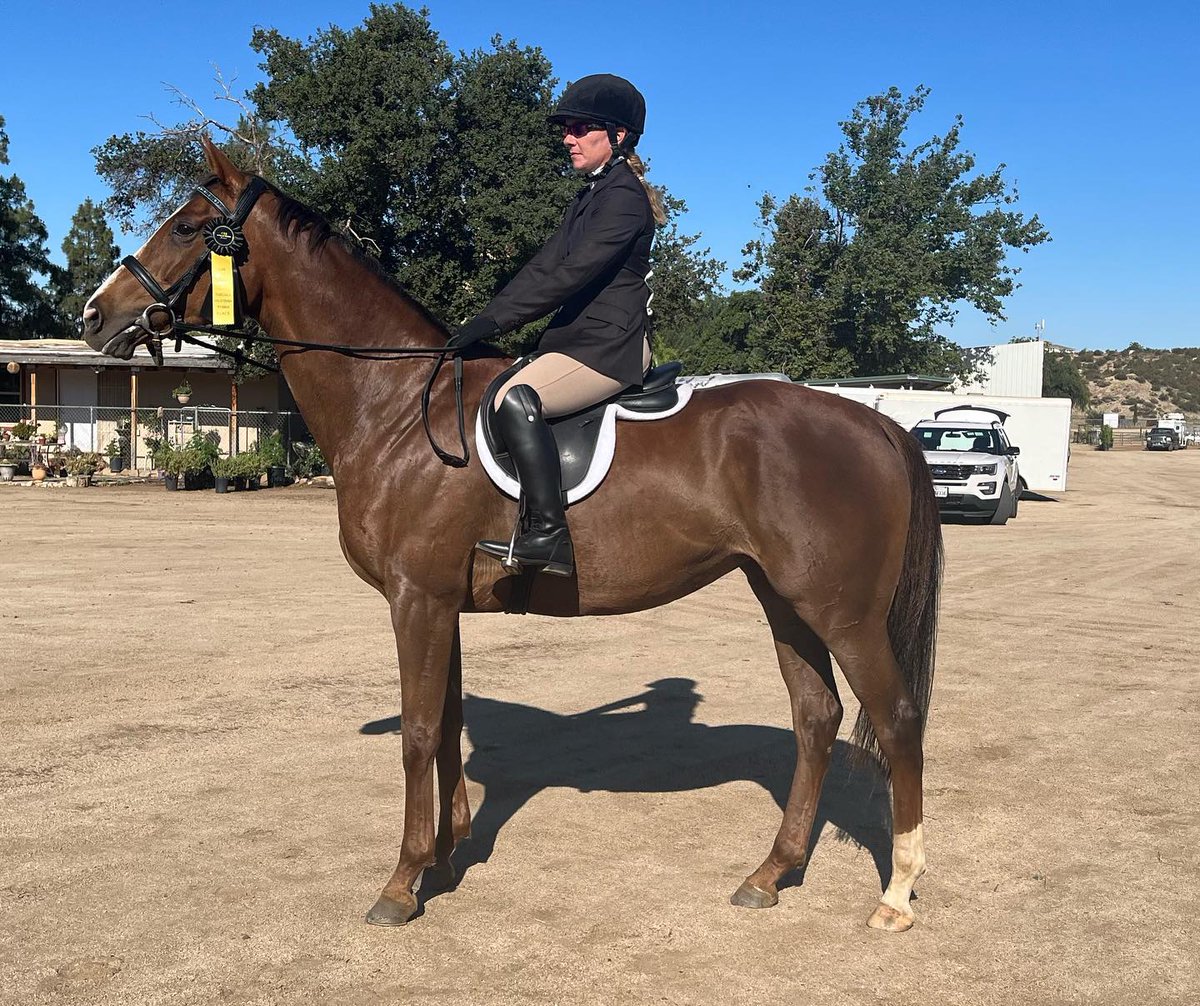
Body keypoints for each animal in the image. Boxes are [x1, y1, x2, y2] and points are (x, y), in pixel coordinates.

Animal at [82, 138, 942, 932]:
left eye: (189, 227)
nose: (93, 316)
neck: (397, 408)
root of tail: (875, 423)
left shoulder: (416, 599)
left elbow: (419, 733)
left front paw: (401, 884)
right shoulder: (438, 603)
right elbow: (448, 723)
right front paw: (446, 853)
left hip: (842, 610)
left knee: (896, 718)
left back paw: (897, 893)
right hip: (783, 597)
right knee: (816, 717)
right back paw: (770, 873)